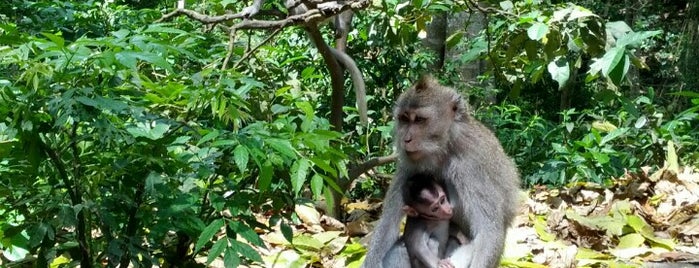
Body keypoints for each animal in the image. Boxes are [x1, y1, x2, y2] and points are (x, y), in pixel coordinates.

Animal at [366, 75, 520, 268]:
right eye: (404, 119)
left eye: (419, 120)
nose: (406, 139)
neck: (444, 148)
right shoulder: (410, 165)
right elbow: (388, 224)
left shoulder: (471, 166)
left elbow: (488, 232)